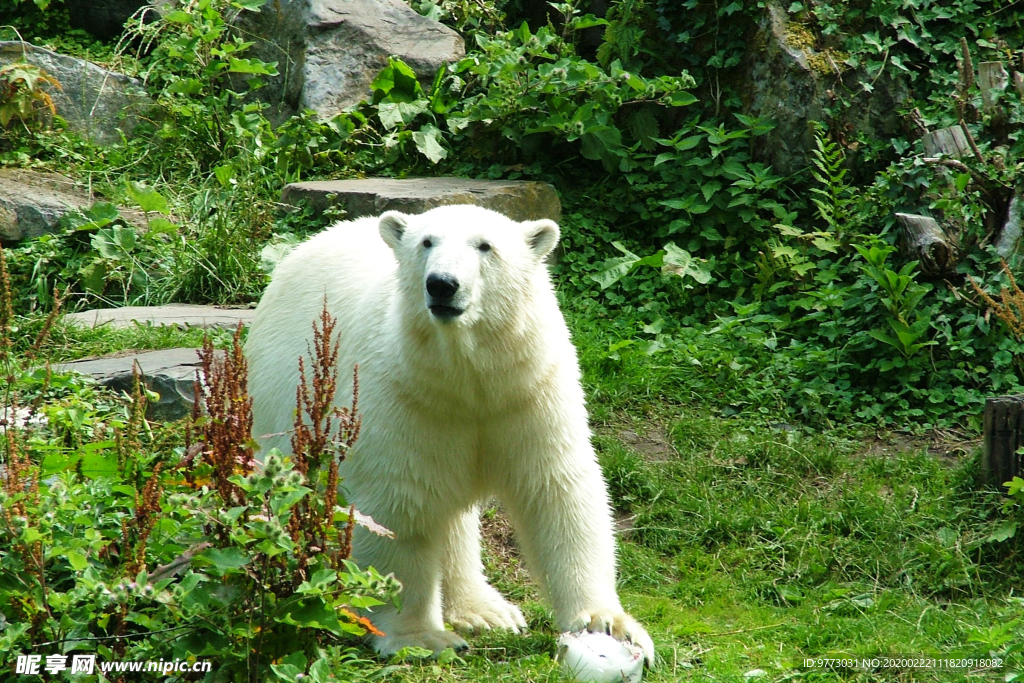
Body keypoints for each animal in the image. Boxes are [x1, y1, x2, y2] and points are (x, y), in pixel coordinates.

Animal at [243, 202, 651, 663]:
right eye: (426, 242)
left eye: (485, 246)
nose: (442, 285)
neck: (467, 377)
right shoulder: (404, 395)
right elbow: (399, 504)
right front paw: (421, 637)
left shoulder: (528, 389)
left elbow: (554, 488)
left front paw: (608, 623)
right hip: (282, 399)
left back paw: (486, 610)